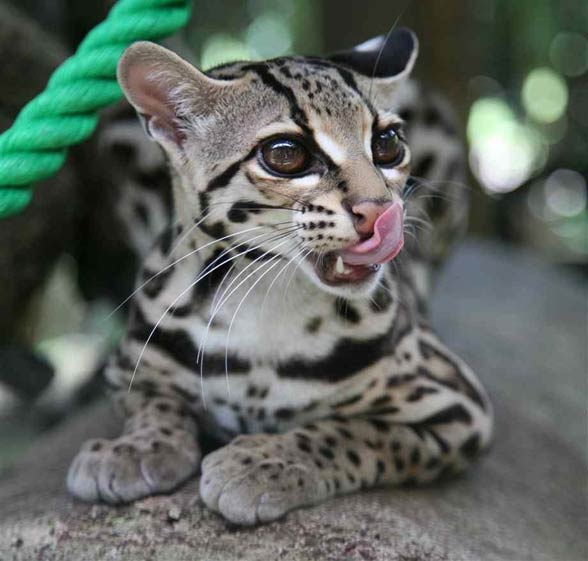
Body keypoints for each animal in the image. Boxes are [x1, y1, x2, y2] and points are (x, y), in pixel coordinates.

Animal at [66, 27, 494, 524]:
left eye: (388, 144)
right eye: (286, 155)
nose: (380, 211)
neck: (264, 296)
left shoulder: (459, 404)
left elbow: (353, 431)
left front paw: (266, 463)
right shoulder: (129, 368)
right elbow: (155, 404)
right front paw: (136, 447)